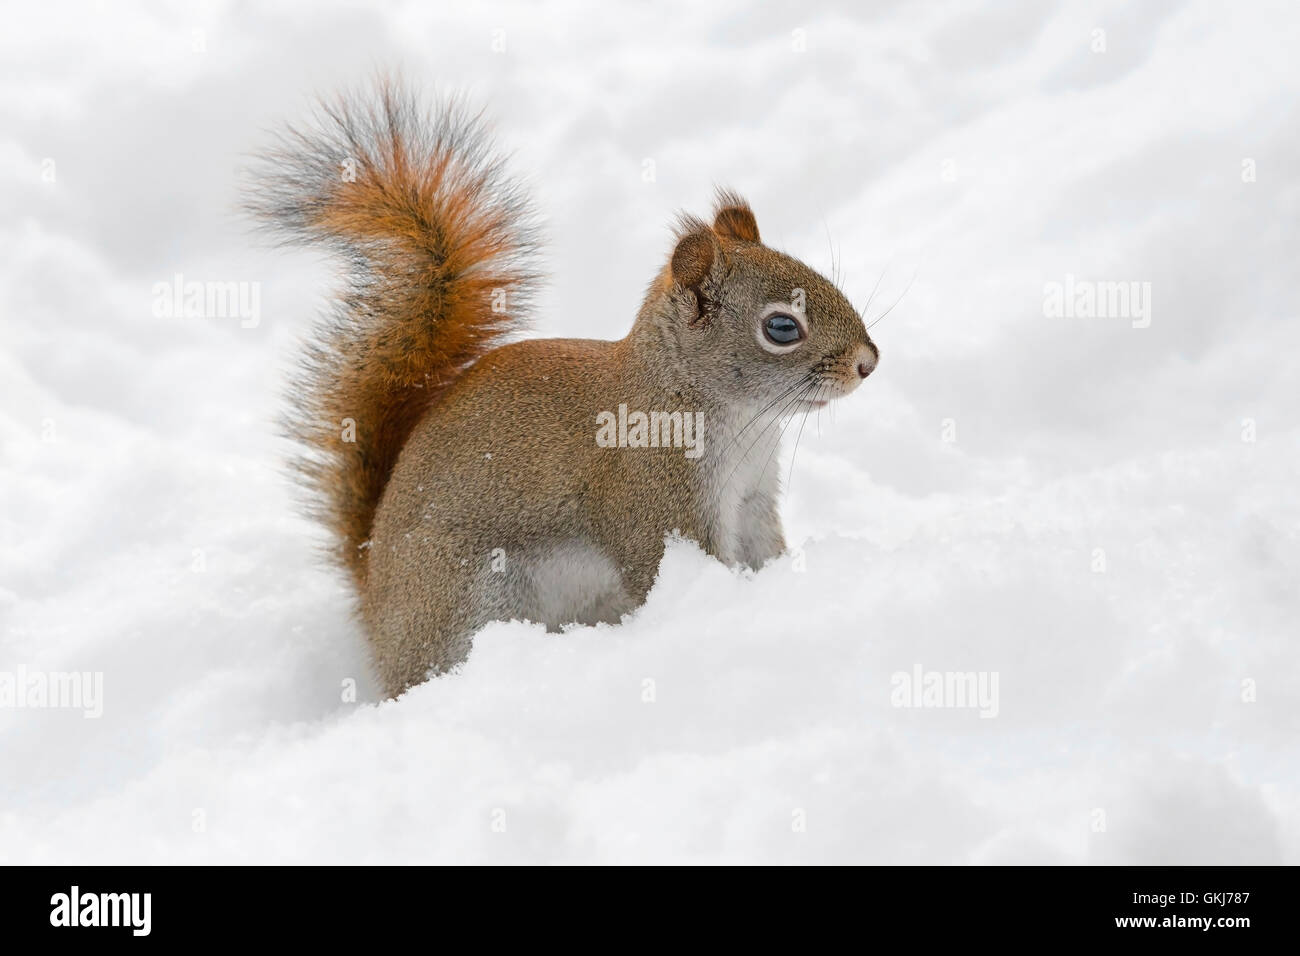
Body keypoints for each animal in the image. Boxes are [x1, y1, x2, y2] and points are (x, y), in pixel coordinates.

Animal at [248, 81, 879, 696]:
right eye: (782, 328)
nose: (868, 362)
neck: (731, 415)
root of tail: (374, 601)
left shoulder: (752, 501)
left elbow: (765, 549)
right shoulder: (658, 505)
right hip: (460, 597)